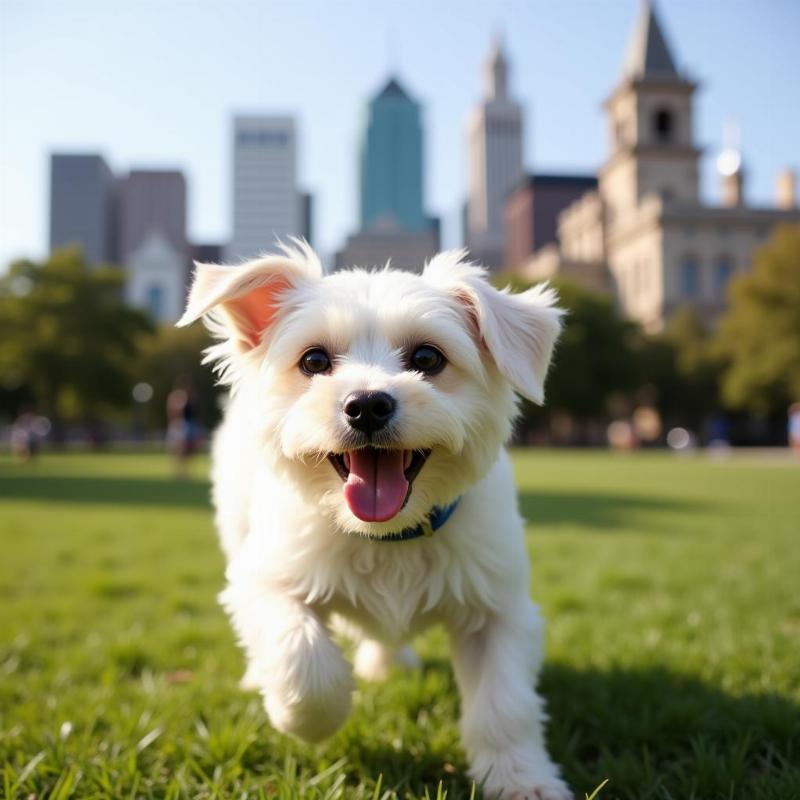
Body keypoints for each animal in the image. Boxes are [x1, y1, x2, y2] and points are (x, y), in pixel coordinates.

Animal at [178, 244, 572, 800]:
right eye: (314, 361)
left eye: (427, 358)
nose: (366, 404)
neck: (386, 536)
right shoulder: (266, 579)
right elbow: (303, 661)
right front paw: (305, 719)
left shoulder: (498, 608)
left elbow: (505, 706)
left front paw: (523, 780)